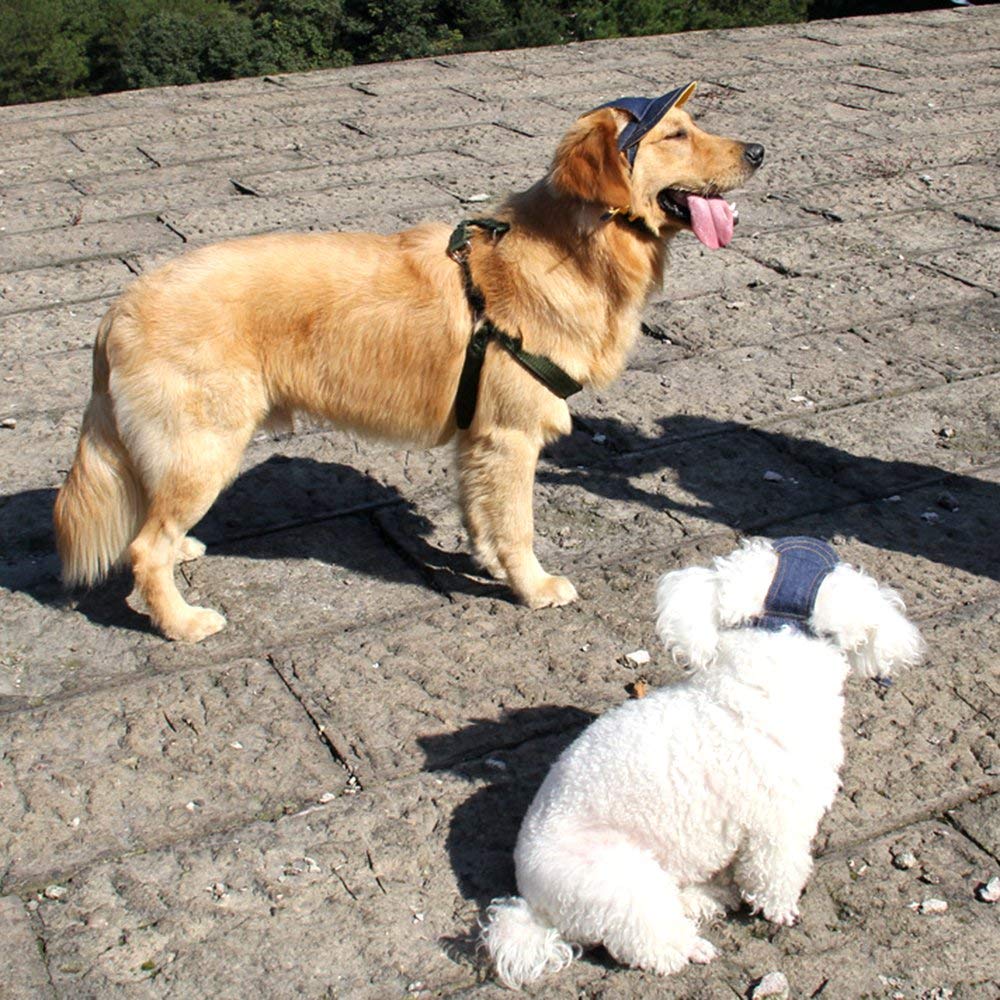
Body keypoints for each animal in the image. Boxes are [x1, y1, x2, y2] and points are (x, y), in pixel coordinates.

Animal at [480, 536, 924, 988]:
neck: (765, 680)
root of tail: (535, 907)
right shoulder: (779, 823)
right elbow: (777, 873)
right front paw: (780, 910)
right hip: (619, 877)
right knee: (649, 941)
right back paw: (690, 946)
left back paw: (709, 895)